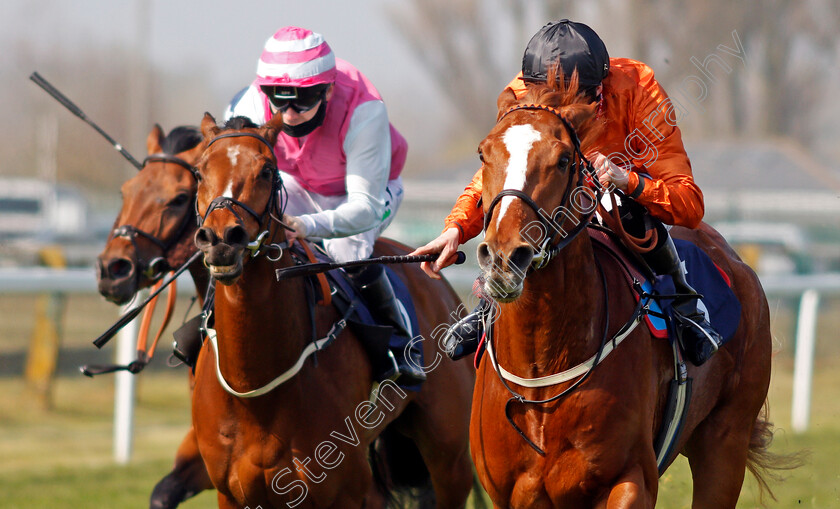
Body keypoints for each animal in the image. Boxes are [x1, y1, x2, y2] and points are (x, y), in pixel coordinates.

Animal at [193, 114, 476, 508]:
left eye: (266, 170)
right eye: (199, 171)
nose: (221, 239)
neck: (256, 391)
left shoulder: (342, 489)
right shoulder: (233, 493)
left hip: (449, 458)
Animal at [472, 76, 780, 508]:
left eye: (563, 159)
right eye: (484, 153)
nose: (504, 256)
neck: (541, 367)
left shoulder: (631, 476)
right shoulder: (508, 492)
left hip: (726, 442)